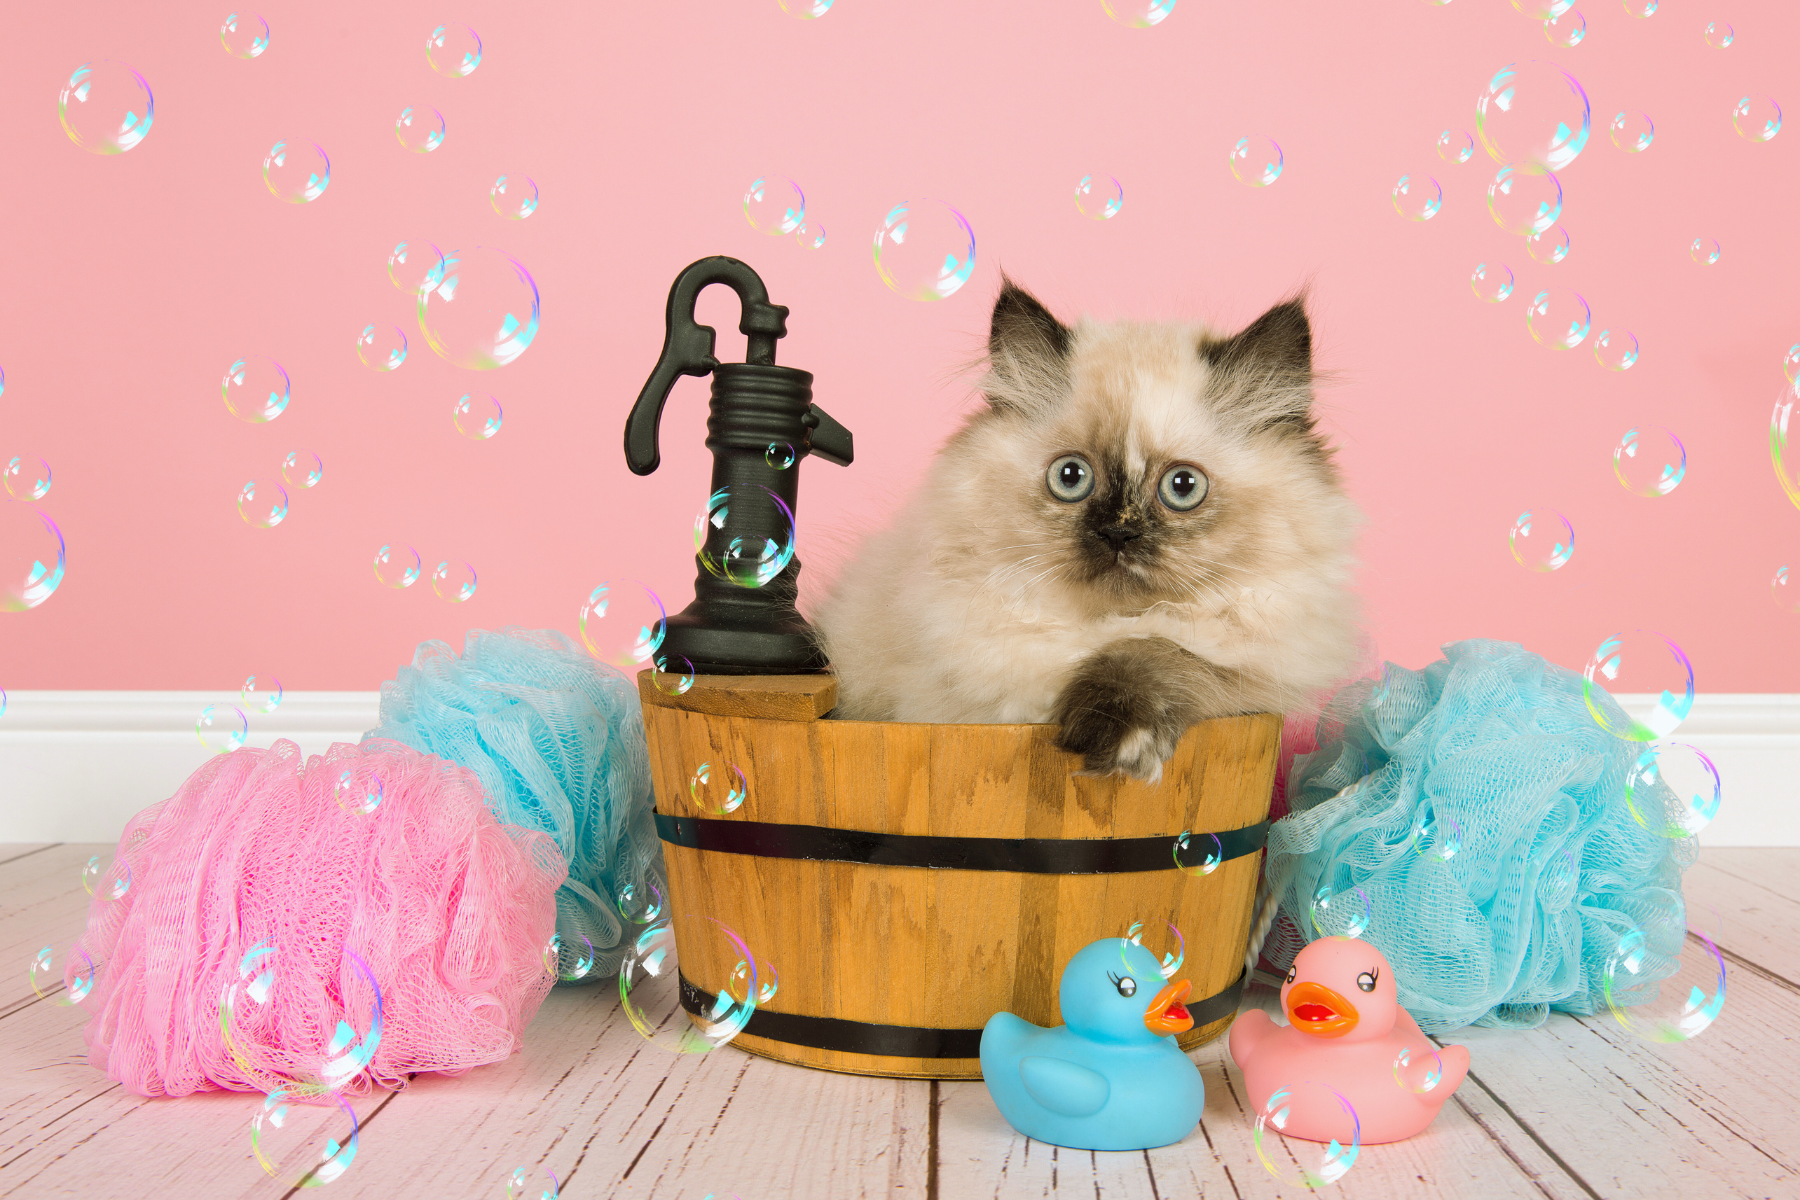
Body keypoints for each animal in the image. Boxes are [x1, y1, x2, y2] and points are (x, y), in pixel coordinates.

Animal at [810, 282, 1353, 788]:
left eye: (1182, 487)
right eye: (1070, 478)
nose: (1119, 533)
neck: (1096, 629)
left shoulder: (1252, 669)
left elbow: (1163, 652)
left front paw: (1112, 734)